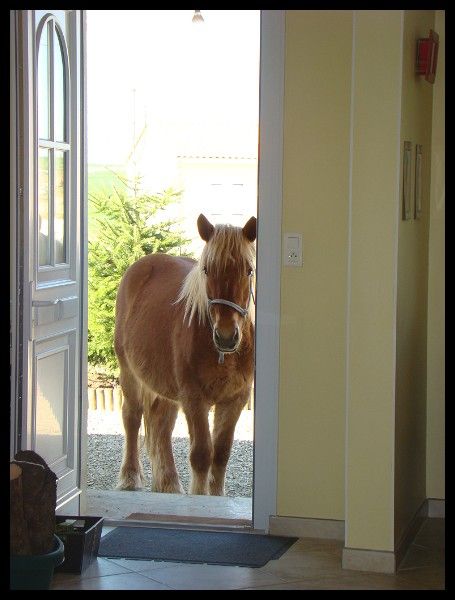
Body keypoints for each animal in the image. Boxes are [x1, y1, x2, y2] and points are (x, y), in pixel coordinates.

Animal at [115, 213, 256, 496]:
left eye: (248, 270)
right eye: (206, 269)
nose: (226, 336)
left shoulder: (235, 399)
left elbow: (221, 454)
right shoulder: (194, 398)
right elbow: (201, 455)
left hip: (165, 387)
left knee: (161, 427)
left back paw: (168, 484)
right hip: (129, 373)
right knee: (132, 418)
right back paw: (130, 477)